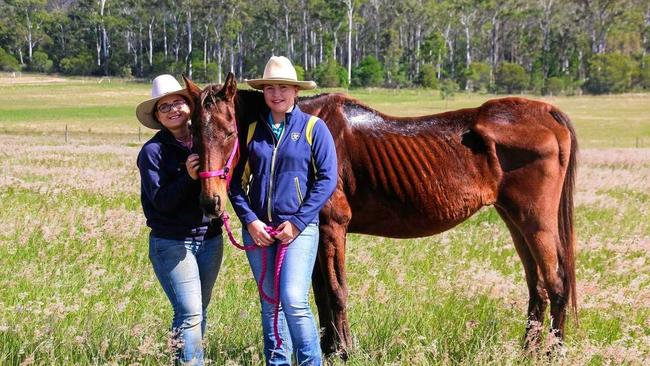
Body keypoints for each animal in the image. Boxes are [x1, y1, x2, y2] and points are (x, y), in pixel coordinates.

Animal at [182, 73, 576, 358]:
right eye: (193, 132)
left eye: (229, 133)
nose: (209, 203)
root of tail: (545, 113)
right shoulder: (314, 233)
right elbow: (320, 294)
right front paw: (329, 350)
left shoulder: (331, 227)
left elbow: (336, 292)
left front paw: (345, 351)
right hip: (514, 220)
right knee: (537, 287)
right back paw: (528, 351)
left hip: (534, 221)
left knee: (555, 282)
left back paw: (553, 352)